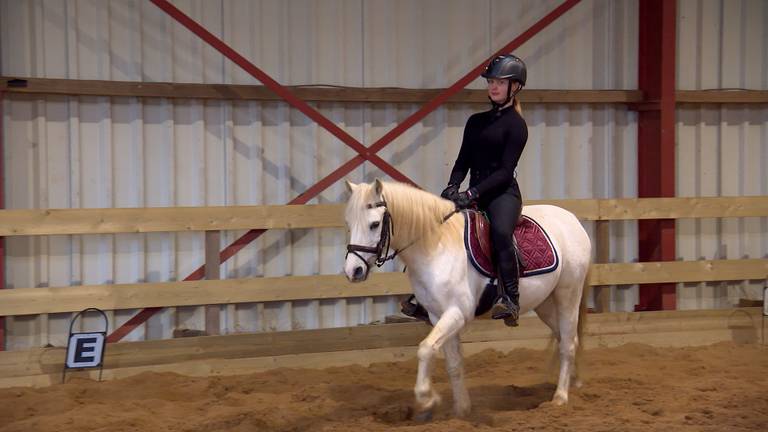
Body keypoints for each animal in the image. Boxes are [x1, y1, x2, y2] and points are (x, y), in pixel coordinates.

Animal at [344, 178, 592, 418]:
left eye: (374, 224)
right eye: (349, 223)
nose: (353, 271)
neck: (436, 246)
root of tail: (572, 220)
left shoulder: (457, 313)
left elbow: (425, 348)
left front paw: (427, 400)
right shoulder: (437, 316)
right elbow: (453, 363)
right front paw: (461, 410)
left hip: (568, 294)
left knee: (567, 343)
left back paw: (560, 397)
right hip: (546, 304)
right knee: (566, 338)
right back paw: (574, 383)